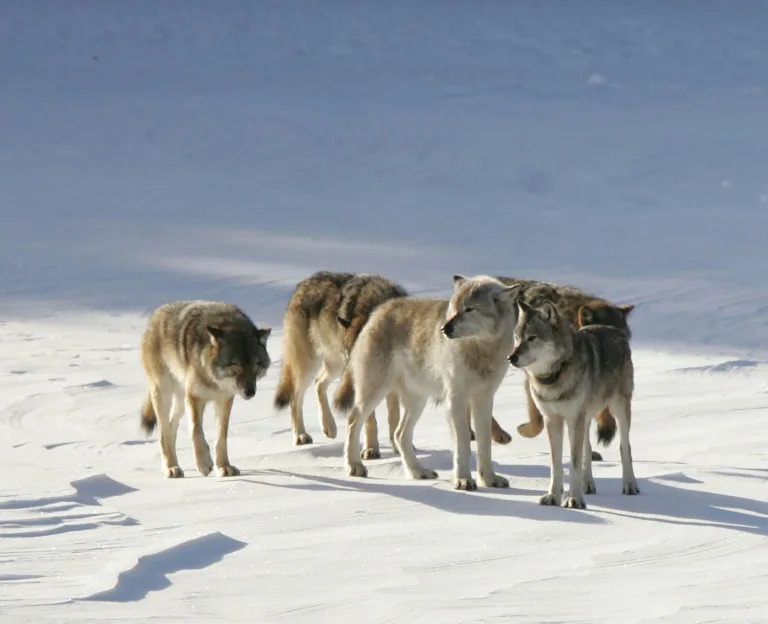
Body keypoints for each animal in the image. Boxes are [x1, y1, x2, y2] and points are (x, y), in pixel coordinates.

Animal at [142, 302, 272, 478]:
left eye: (256, 365)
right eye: (235, 365)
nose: (250, 392)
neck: (214, 380)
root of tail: (157, 313)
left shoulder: (224, 400)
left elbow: (221, 437)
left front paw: (224, 467)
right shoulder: (194, 398)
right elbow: (196, 431)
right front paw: (204, 464)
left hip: (180, 402)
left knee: (171, 427)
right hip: (165, 394)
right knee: (163, 433)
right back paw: (170, 468)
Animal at [274, 270, 408, 458]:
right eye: (351, 355)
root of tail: (301, 286)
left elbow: (394, 415)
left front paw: (397, 447)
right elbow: (370, 420)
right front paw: (371, 449)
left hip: (335, 366)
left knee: (319, 383)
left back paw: (329, 427)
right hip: (310, 365)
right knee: (296, 397)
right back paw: (301, 435)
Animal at [332, 276, 520, 490]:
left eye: (469, 309)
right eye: (453, 309)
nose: (445, 328)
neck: (480, 350)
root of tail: (378, 310)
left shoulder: (484, 399)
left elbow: (484, 444)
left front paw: (489, 479)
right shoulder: (456, 400)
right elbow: (463, 443)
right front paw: (463, 480)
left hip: (417, 401)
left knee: (399, 434)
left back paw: (418, 472)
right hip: (375, 393)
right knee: (353, 421)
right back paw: (355, 466)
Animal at [508, 298, 640, 508]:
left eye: (532, 338)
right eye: (517, 338)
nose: (511, 357)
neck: (554, 377)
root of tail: (611, 328)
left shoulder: (574, 418)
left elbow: (574, 465)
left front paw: (574, 499)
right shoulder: (552, 420)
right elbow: (556, 465)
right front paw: (553, 496)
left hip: (618, 409)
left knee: (624, 447)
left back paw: (629, 485)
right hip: (585, 419)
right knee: (587, 448)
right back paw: (588, 485)